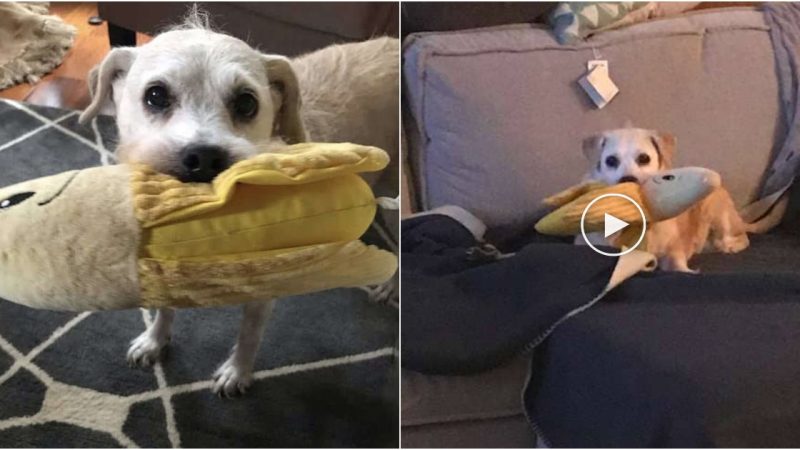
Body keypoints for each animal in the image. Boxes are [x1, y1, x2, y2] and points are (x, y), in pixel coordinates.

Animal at [78, 12, 396, 396]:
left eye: (246, 102)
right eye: (156, 95)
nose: (203, 158)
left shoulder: (264, 289)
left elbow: (249, 335)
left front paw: (237, 372)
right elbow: (164, 309)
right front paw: (155, 340)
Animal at [580, 128, 752, 272]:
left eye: (644, 158)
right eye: (611, 160)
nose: (627, 179)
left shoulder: (674, 250)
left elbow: (677, 264)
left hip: (717, 213)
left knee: (741, 238)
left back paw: (729, 246)